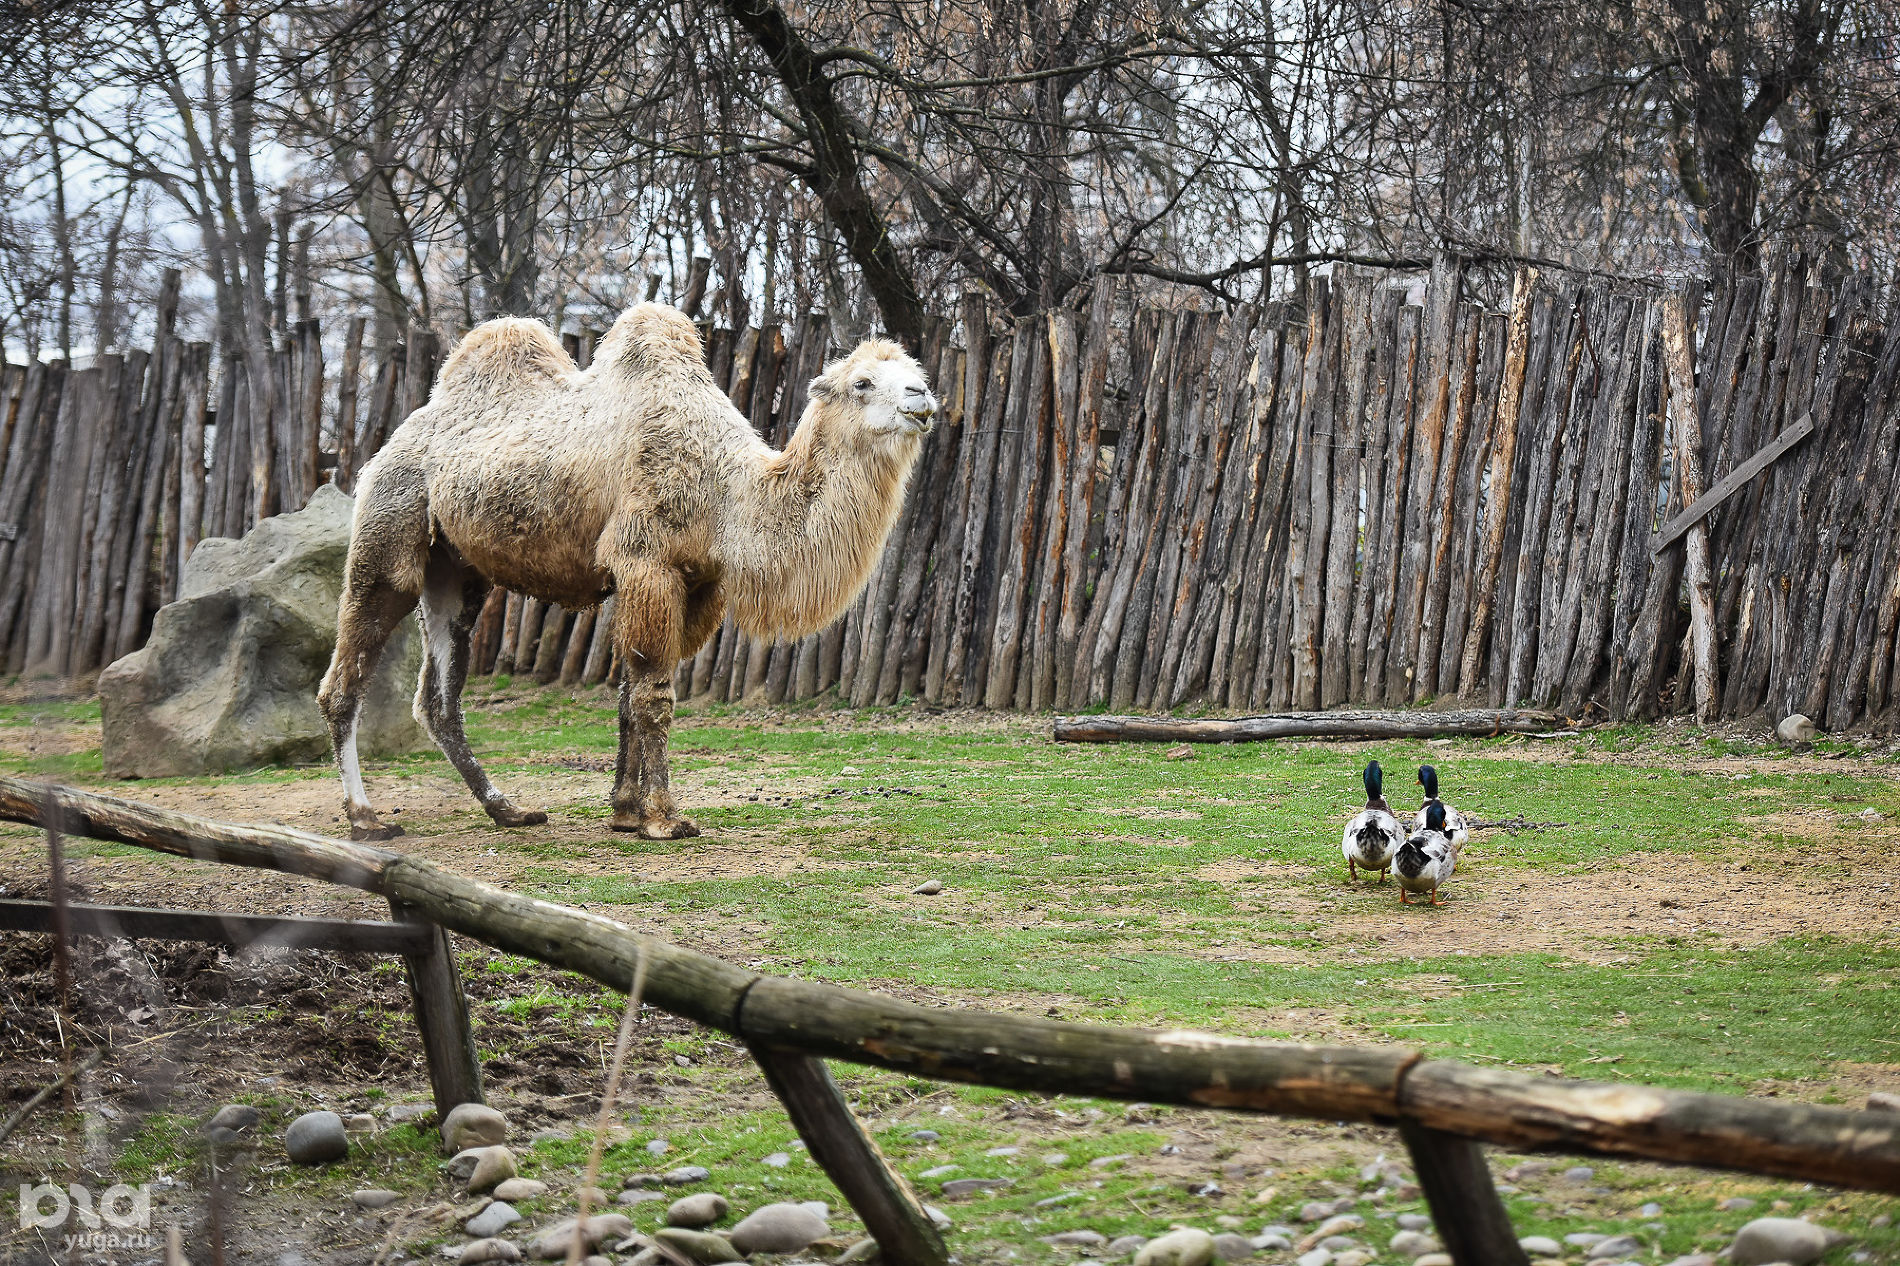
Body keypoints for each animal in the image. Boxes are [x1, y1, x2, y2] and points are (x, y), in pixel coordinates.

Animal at [321, 302, 942, 836]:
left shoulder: (698, 585)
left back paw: (508, 810)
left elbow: (627, 696)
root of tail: (389, 444)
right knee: (345, 678)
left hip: (454, 572)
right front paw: (665, 819)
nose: (923, 396)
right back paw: (366, 819)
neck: (727, 492)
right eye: (862, 383)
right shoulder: (648, 563)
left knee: (439, 701)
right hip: (388, 532)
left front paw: (624, 811)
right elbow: (654, 697)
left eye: (915, 371)